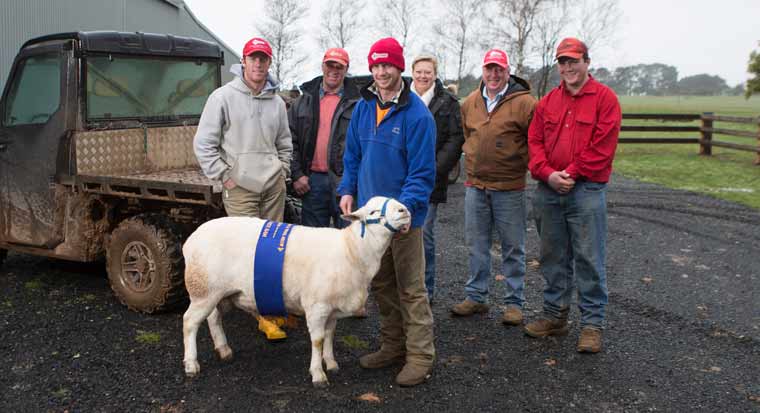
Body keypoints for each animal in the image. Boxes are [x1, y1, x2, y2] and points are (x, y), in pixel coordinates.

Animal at [182, 196, 412, 386]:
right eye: (373, 212)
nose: (404, 210)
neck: (351, 250)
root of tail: (190, 240)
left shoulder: (332, 309)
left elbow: (330, 336)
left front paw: (331, 363)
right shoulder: (317, 305)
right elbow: (318, 340)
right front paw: (318, 374)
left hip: (218, 292)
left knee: (213, 318)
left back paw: (223, 349)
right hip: (202, 289)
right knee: (190, 322)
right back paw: (191, 364)